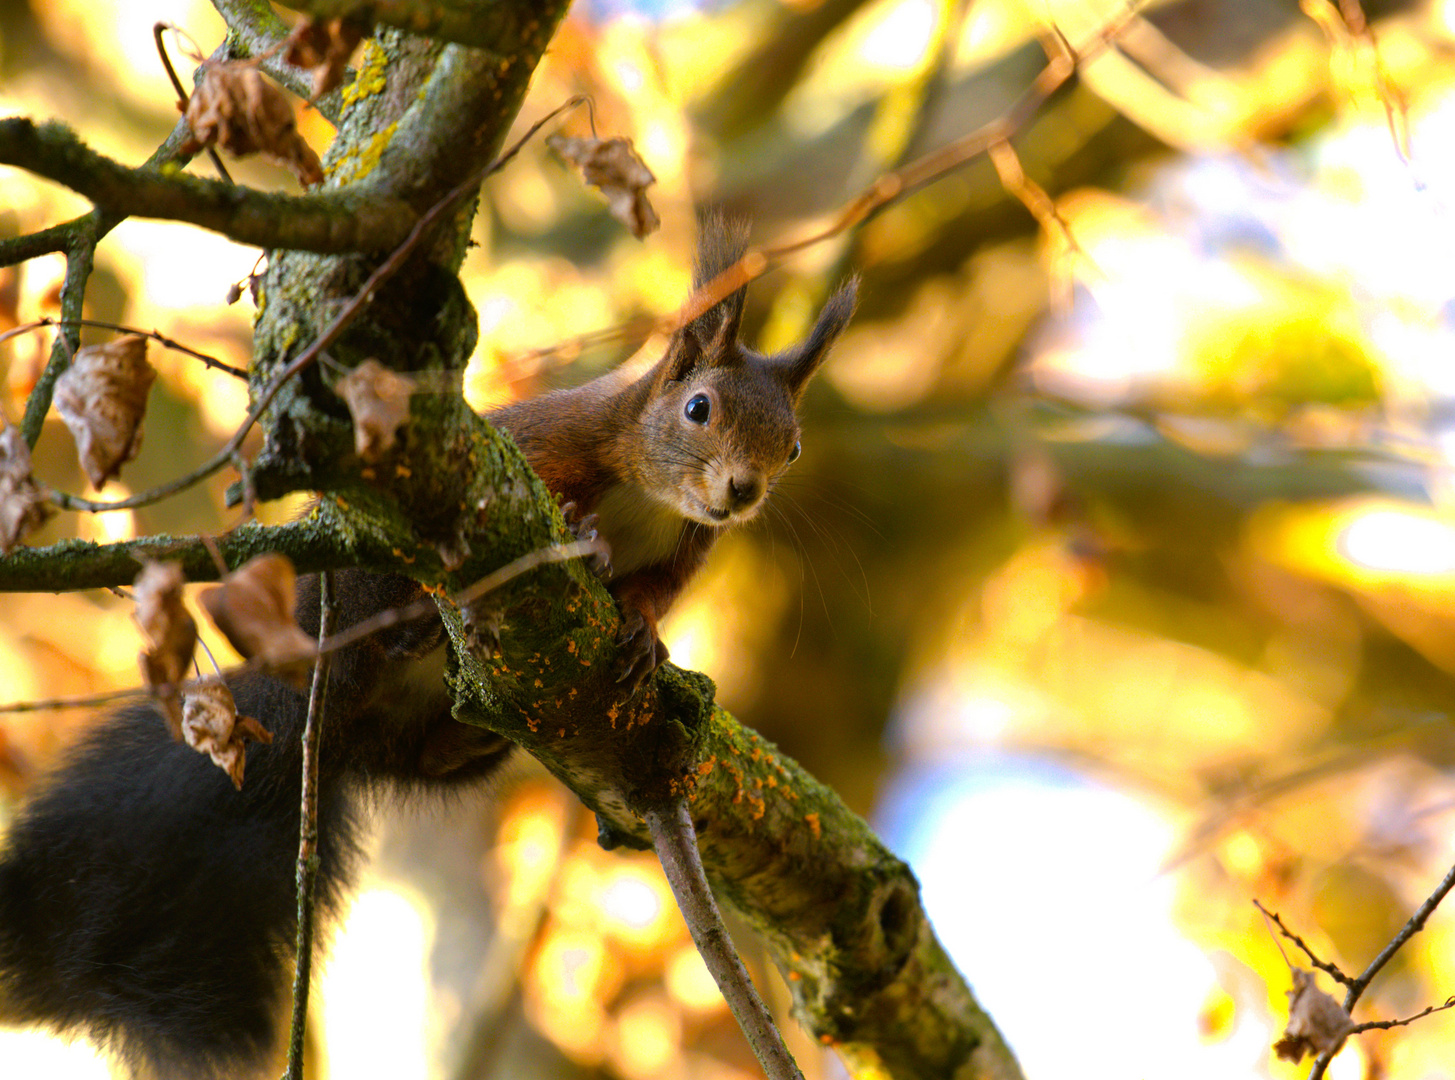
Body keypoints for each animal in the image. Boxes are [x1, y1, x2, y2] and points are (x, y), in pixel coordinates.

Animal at [0, 215, 849, 1077]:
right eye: (699, 408)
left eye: (792, 447)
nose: (742, 492)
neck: (649, 495)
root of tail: (324, 721)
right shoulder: (544, 447)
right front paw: (582, 531)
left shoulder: (685, 552)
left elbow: (650, 597)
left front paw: (646, 638)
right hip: (358, 587)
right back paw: (412, 628)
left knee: (434, 754)